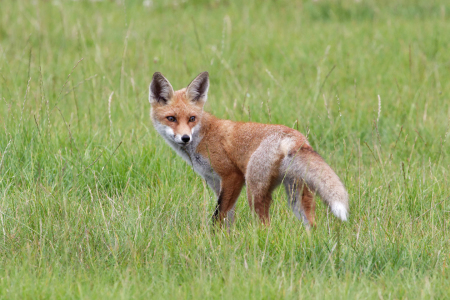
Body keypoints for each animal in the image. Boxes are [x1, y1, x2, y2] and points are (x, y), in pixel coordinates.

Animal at [149, 71, 350, 226]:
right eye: (171, 118)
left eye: (191, 118)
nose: (185, 138)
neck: (203, 136)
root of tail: (297, 137)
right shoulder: (216, 183)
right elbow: (227, 217)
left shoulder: (232, 176)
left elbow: (218, 216)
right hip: (297, 196)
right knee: (312, 225)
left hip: (254, 189)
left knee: (265, 225)